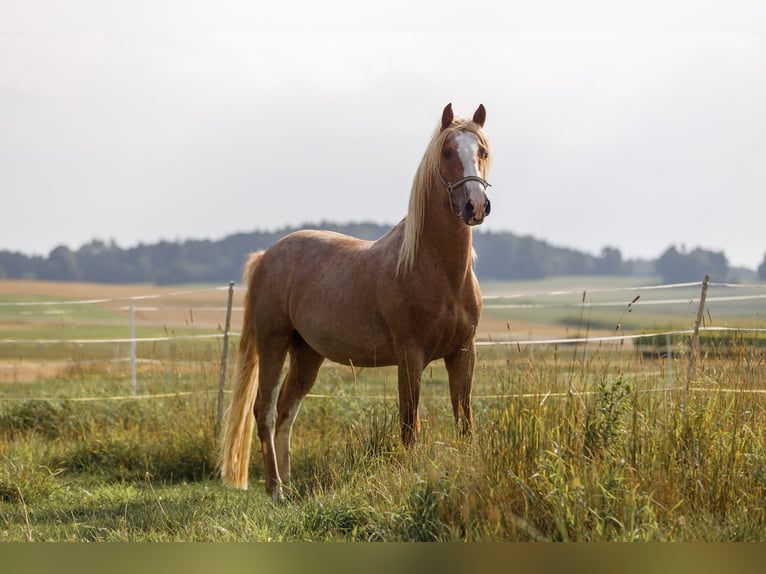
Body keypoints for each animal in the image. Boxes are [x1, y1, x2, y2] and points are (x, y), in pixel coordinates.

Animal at [220, 103, 492, 501]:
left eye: (482, 151)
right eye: (446, 152)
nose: (475, 205)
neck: (438, 271)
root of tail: (266, 256)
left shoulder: (462, 353)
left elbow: (465, 422)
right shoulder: (410, 357)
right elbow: (409, 426)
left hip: (307, 354)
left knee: (286, 410)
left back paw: (289, 484)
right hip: (273, 344)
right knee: (265, 411)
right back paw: (276, 490)